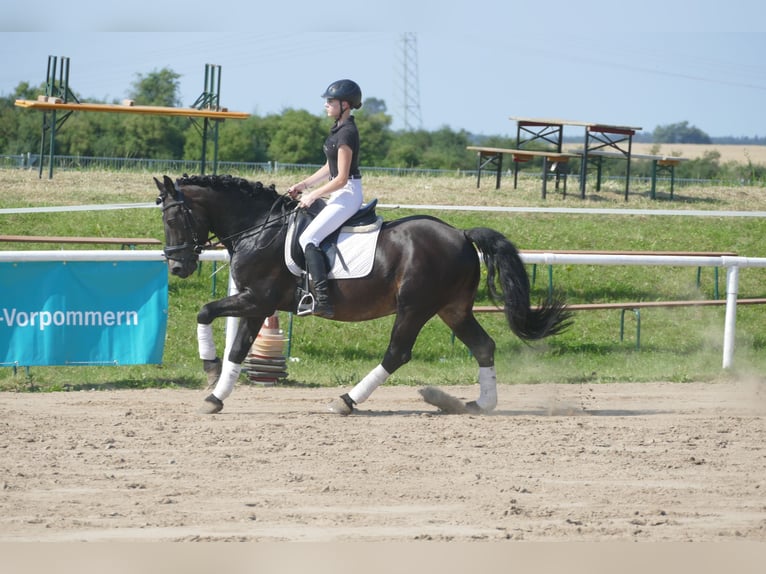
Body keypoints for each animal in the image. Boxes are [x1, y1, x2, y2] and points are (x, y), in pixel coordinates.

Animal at [154, 173, 568, 416]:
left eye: (173, 218)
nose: (177, 268)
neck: (258, 227)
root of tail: (461, 234)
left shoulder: (257, 298)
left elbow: (206, 313)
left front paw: (210, 370)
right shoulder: (257, 304)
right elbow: (235, 347)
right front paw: (215, 395)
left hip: (415, 307)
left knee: (397, 353)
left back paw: (347, 401)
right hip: (453, 309)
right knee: (483, 346)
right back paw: (480, 404)